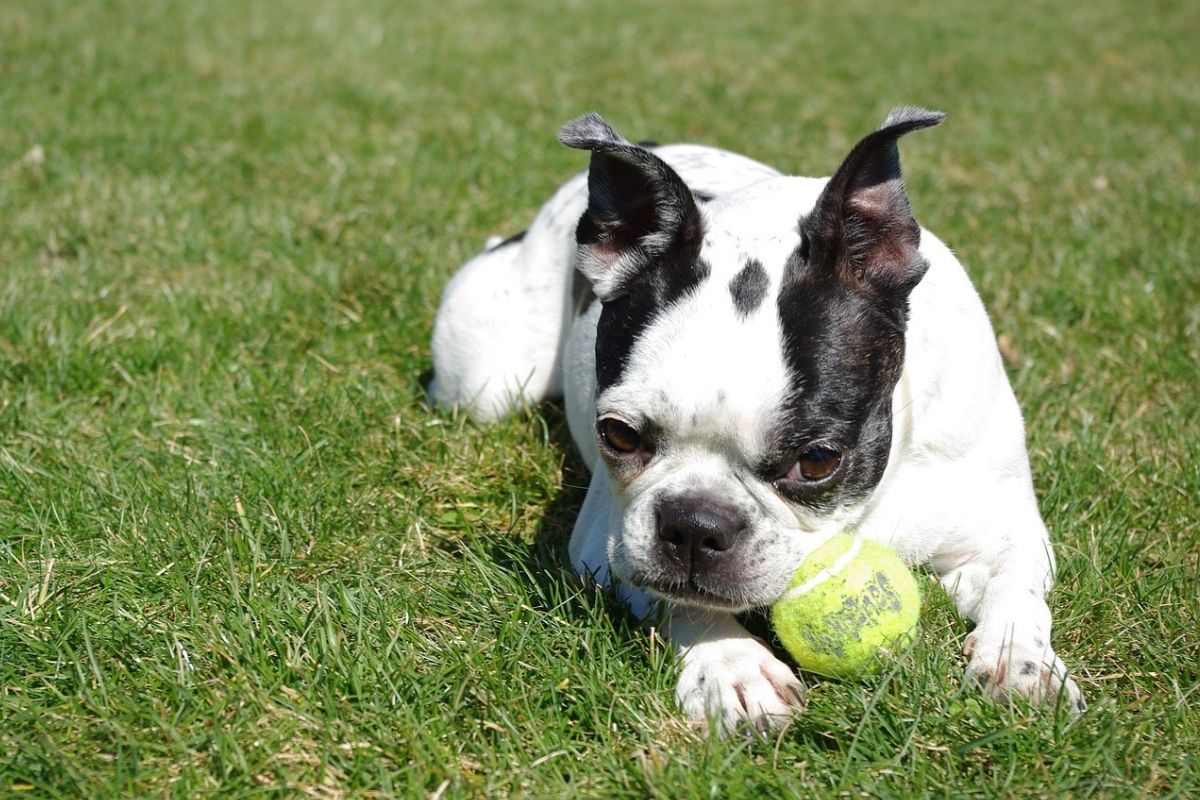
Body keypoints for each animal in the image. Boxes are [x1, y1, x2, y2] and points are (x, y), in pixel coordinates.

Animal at [429, 109, 1089, 734]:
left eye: (817, 461)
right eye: (618, 434)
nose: (695, 524)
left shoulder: (1007, 532)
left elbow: (1017, 591)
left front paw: (1020, 662)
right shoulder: (607, 544)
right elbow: (682, 599)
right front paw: (732, 665)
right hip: (487, 383)